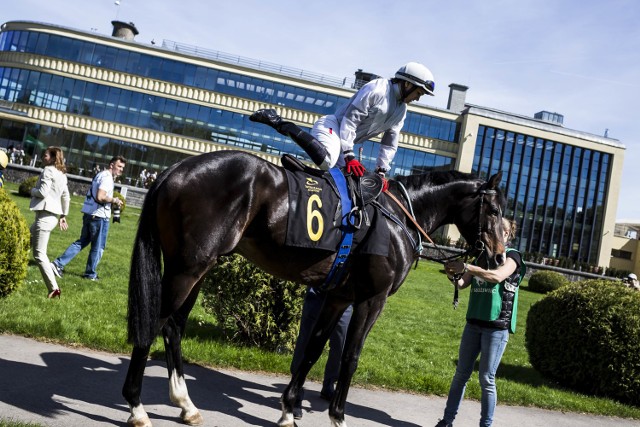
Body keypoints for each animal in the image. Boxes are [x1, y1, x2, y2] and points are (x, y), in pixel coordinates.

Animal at [122, 150, 508, 427]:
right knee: (154, 322)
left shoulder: (338, 297)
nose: (498, 255)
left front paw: (289, 409)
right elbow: (350, 357)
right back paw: (137, 406)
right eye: (494, 209)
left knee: (173, 325)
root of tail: (176, 168)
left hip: (196, 267)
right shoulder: (372, 299)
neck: (398, 218)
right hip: (188, 268)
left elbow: (313, 348)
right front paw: (337, 416)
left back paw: (186, 404)